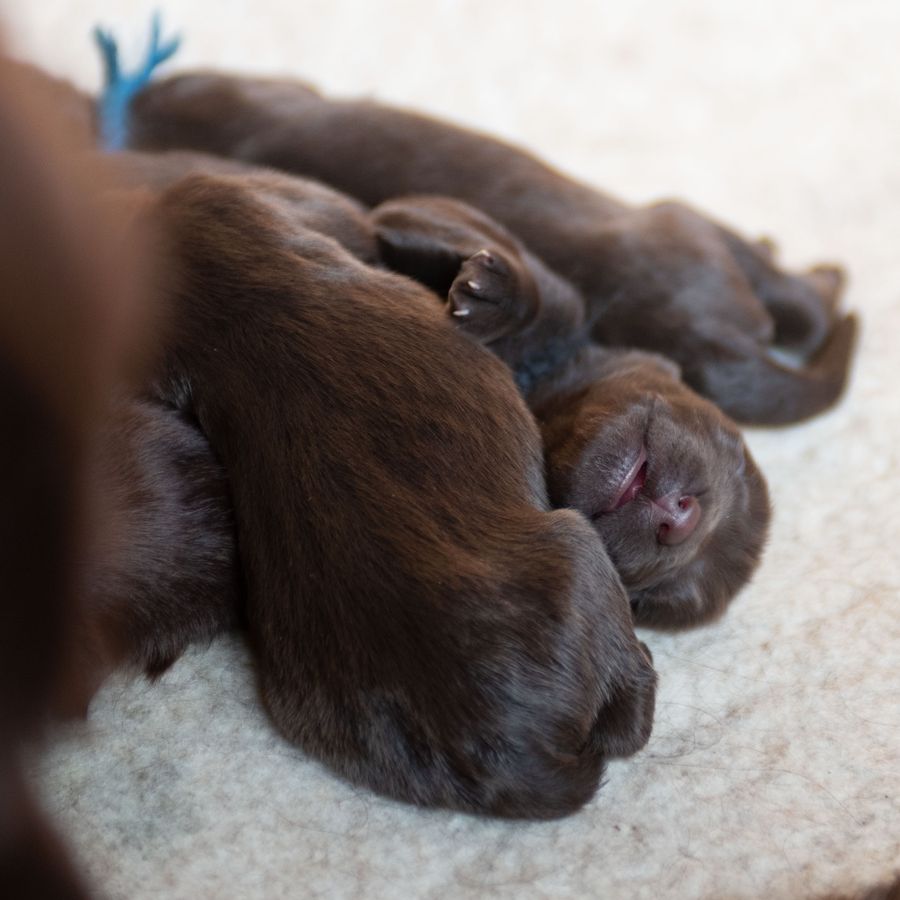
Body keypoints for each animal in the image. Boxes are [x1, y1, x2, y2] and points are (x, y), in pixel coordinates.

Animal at [372, 195, 772, 624]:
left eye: (665, 599)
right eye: (734, 450)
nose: (681, 518)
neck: (535, 382)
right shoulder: (429, 213)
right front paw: (498, 294)